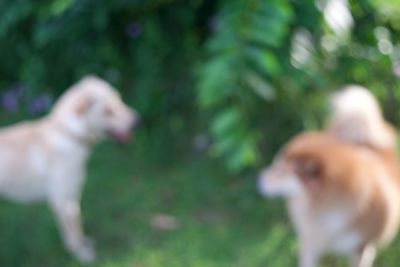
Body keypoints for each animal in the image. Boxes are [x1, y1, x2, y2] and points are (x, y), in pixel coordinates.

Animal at [0, 76, 139, 264]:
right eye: (107, 111)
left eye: (119, 99)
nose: (137, 121)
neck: (67, 134)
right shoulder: (61, 201)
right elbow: (72, 232)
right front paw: (81, 254)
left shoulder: (73, 196)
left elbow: (77, 226)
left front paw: (83, 244)